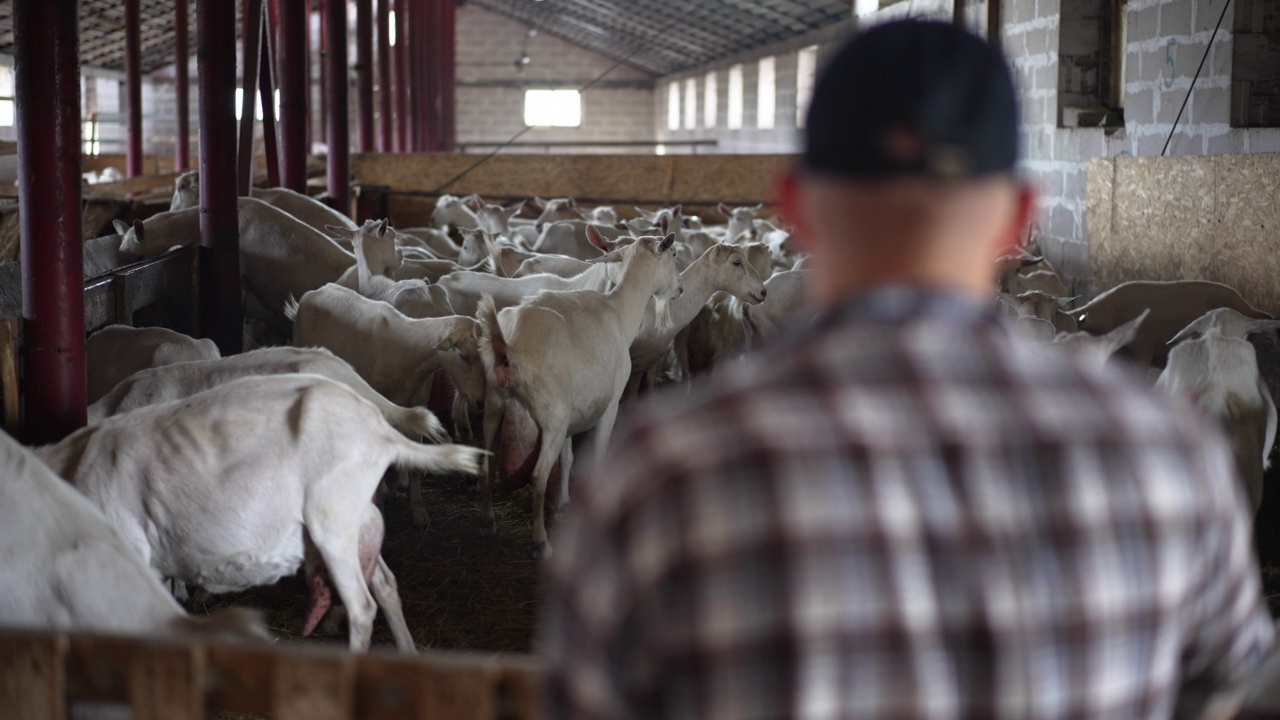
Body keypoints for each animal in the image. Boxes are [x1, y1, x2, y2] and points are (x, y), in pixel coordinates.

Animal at [476, 233, 686, 550]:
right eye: (673, 254)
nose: (680, 289)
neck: (620, 310)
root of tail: (508, 346)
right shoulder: (611, 402)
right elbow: (597, 455)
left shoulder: (575, 411)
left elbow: (568, 460)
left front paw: (564, 507)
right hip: (552, 415)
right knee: (538, 475)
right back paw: (541, 543)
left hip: (495, 402)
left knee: (488, 461)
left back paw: (488, 523)